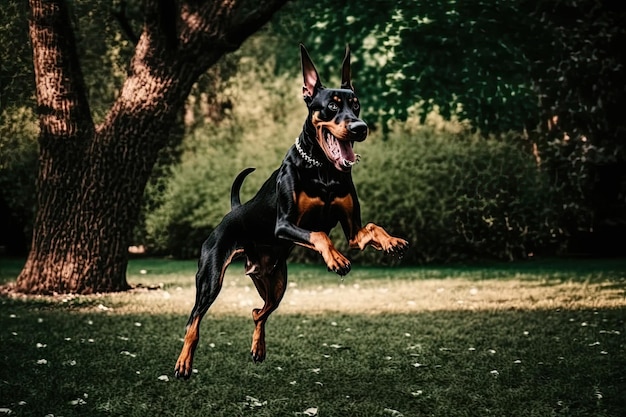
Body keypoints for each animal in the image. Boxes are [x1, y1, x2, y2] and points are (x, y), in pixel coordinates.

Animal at [173, 44, 408, 378]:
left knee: (257, 312)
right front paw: (336, 259)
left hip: (276, 283)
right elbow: (320, 234)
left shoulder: (353, 232)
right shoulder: (284, 225)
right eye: (332, 106)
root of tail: (233, 212)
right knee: (194, 321)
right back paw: (184, 363)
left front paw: (392, 242)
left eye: (357, 105)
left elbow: (372, 228)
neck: (323, 169)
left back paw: (258, 349)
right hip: (210, 278)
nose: (360, 128)